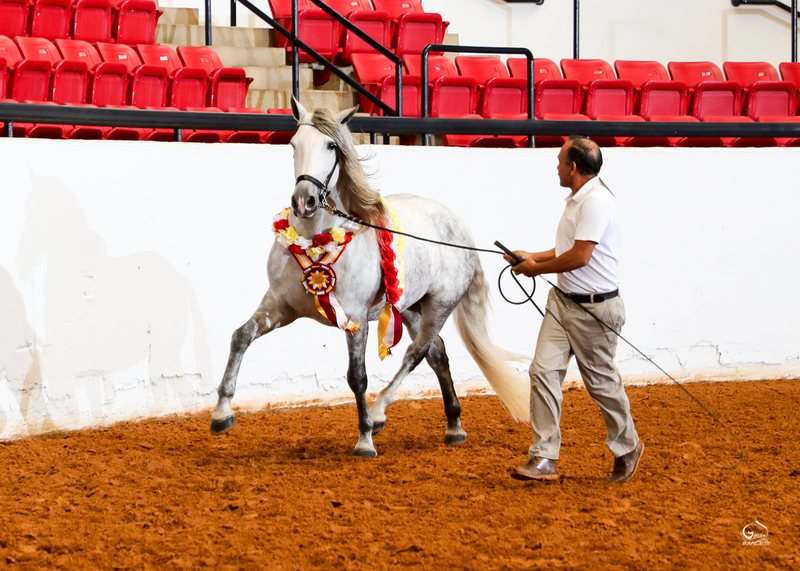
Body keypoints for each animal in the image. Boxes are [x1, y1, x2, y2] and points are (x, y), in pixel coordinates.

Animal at [210, 97, 529, 457]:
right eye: (293, 144)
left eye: (331, 145)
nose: (304, 201)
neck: (315, 239)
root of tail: (459, 227)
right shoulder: (280, 306)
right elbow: (241, 336)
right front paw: (222, 414)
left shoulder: (356, 318)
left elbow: (357, 376)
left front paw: (364, 440)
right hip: (409, 308)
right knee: (437, 354)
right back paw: (454, 425)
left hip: (440, 306)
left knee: (416, 352)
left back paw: (378, 414)